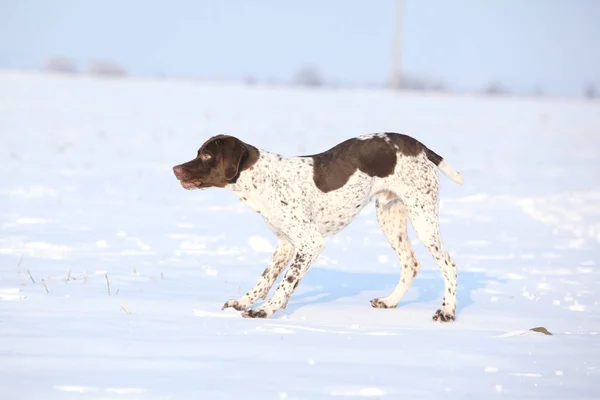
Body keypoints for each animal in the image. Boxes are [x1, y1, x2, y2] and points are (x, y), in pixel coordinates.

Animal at [173, 133, 464, 320]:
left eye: (206, 154)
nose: (175, 169)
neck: (263, 180)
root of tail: (419, 147)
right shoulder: (285, 244)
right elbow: (265, 279)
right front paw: (244, 301)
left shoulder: (310, 242)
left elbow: (286, 282)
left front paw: (266, 309)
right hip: (390, 217)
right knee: (410, 264)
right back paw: (390, 301)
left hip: (423, 217)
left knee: (448, 265)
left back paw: (447, 311)